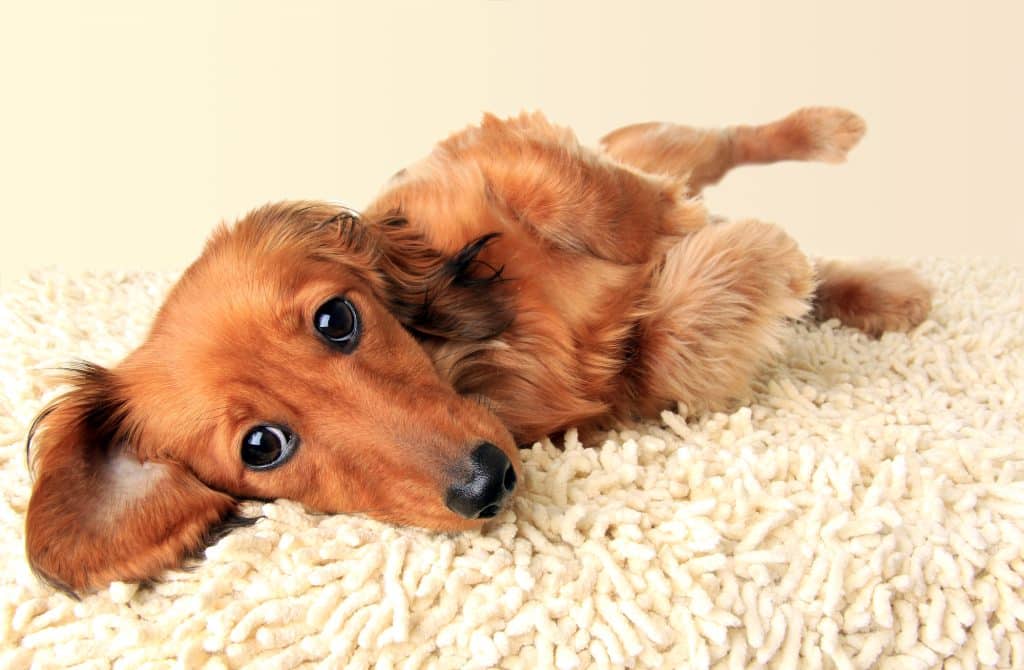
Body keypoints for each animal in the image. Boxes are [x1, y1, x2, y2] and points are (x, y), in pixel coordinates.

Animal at [25, 107, 937, 594]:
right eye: (262, 447)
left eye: (337, 320)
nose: (485, 484)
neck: (482, 355)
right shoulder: (618, 398)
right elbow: (668, 346)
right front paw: (751, 265)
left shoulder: (484, 156)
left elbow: (592, 198)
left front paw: (680, 231)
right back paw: (864, 288)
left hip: (661, 139)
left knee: (721, 144)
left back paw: (825, 141)